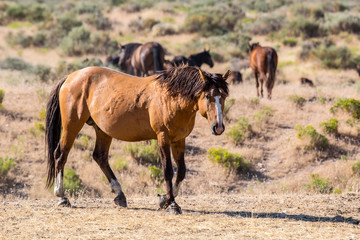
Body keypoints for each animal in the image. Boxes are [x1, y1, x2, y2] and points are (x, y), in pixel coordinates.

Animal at [45, 65, 231, 214]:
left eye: (223, 96)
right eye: (207, 96)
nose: (218, 127)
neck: (171, 97)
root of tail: (70, 77)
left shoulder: (179, 140)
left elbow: (182, 171)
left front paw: (163, 199)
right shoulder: (163, 138)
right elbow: (168, 170)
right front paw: (172, 204)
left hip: (102, 130)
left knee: (100, 157)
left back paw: (119, 195)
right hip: (71, 126)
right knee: (61, 155)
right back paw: (62, 197)